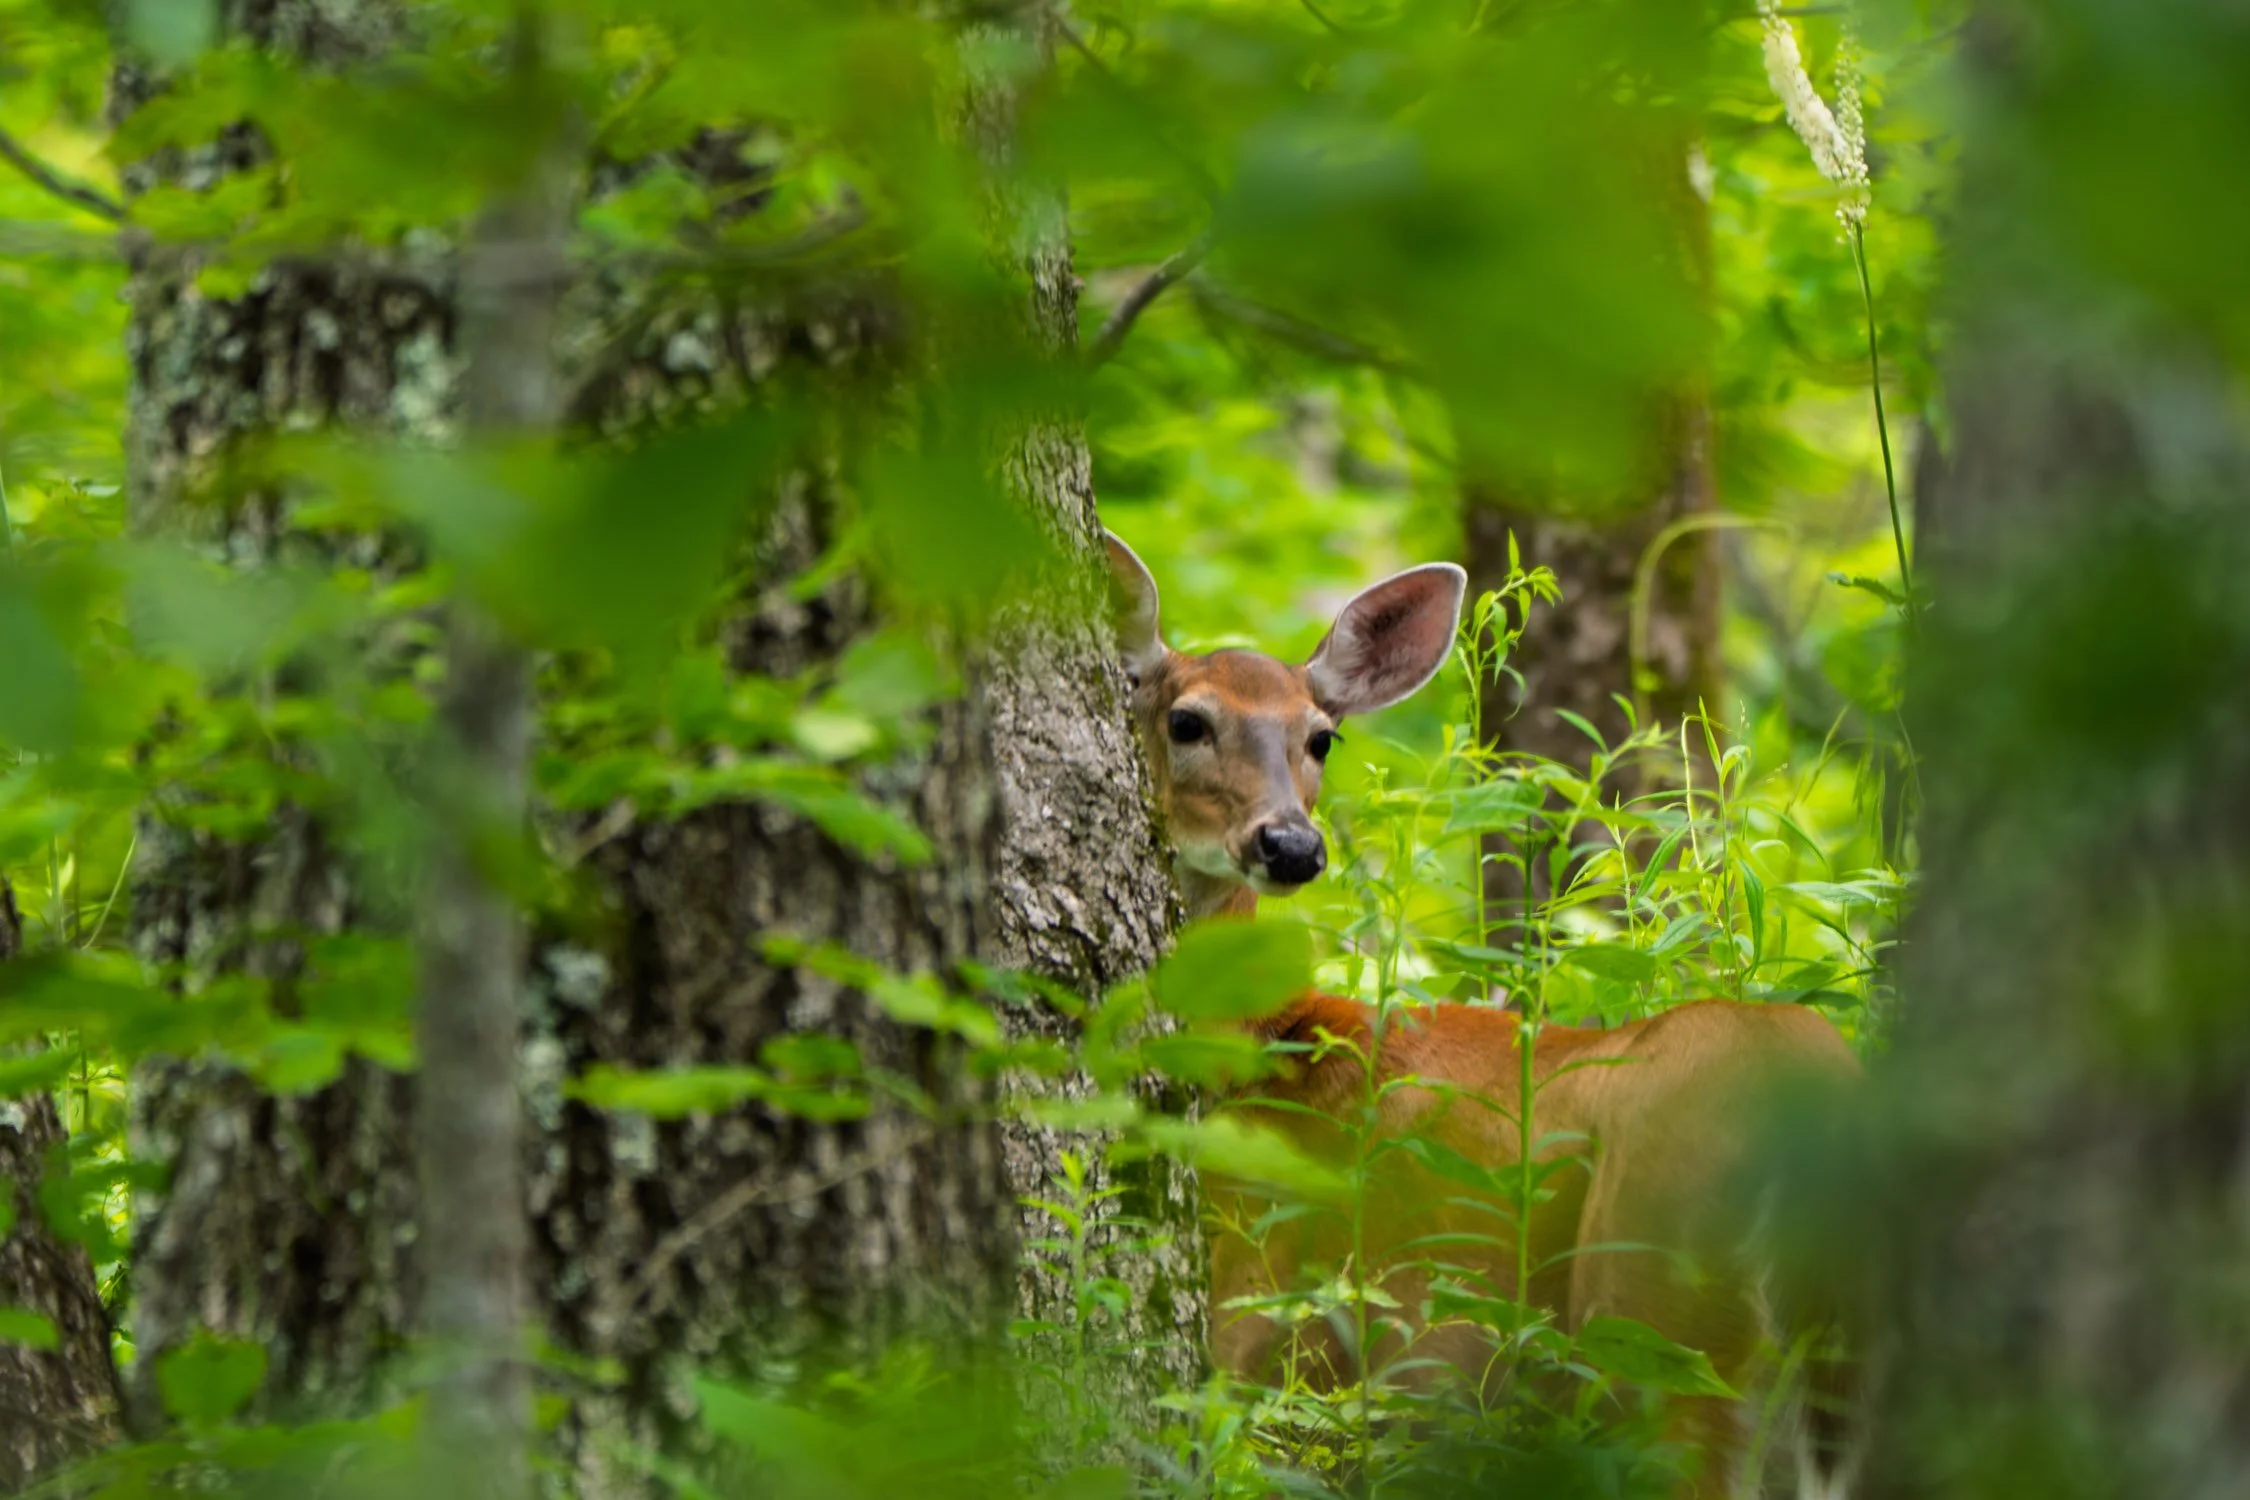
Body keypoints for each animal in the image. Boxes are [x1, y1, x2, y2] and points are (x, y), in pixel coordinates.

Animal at [1103, 530, 1861, 1500]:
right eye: (1188, 721)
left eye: (1321, 737)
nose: (1291, 845)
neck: (1254, 1051)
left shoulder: (1250, 1300)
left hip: (1656, 1307)